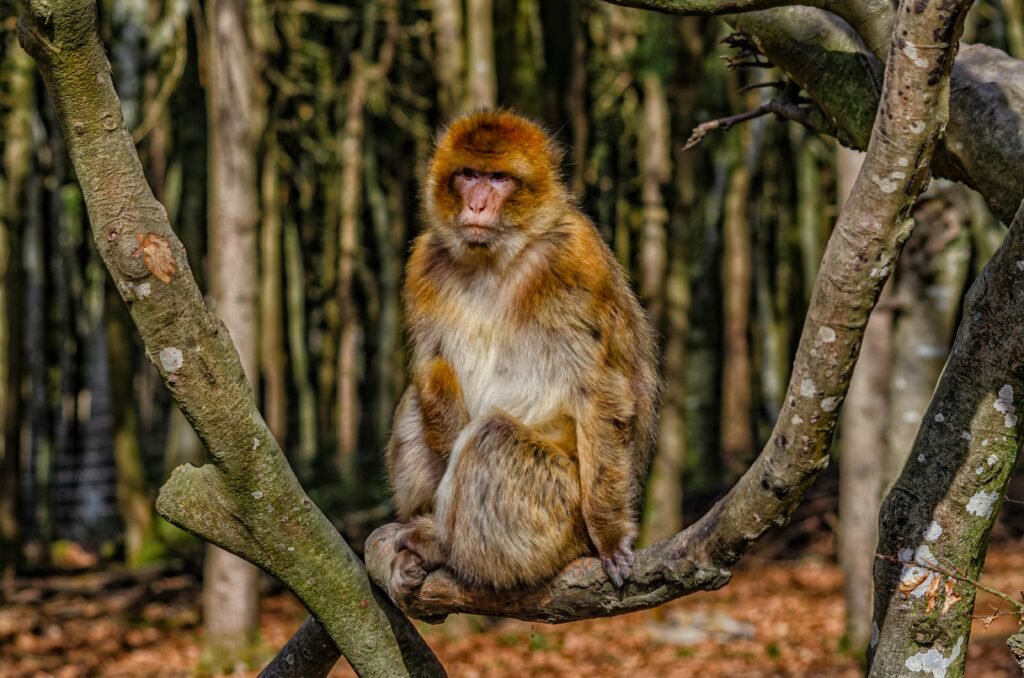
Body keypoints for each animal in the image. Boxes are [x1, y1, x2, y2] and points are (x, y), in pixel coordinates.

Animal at [385, 109, 660, 597]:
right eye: (468, 174)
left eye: (498, 179)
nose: (476, 205)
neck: (494, 259)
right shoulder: (423, 264)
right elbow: (431, 367)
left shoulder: (573, 263)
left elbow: (601, 390)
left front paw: (610, 536)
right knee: (418, 403)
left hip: (559, 513)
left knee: (492, 438)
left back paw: (444, 547)